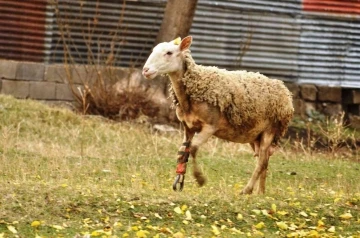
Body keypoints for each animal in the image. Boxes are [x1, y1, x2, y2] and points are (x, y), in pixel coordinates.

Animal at [142, 36, 294, 194]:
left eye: (169, 53)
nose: (145, 70)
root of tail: (285, 91)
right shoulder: (188, 127)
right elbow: (182, 153)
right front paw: (179, 180)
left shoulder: (210, 125)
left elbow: (193, 149)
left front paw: (199, 178)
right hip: (255, 135)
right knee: (264, 160)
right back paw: (260, 193)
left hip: (271, 129)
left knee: (262, 162)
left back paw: (247, 190)